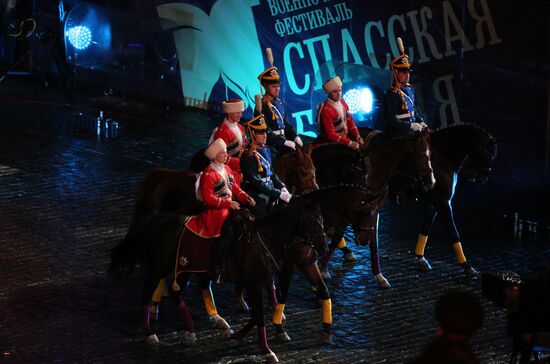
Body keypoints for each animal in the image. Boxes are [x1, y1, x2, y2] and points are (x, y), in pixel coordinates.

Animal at [227, 192, 328, 362]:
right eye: (312, 222)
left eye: (322, 220)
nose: (324, 248)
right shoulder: (256, 283)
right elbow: (262, 313)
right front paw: (267, 350)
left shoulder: (272, 277)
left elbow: (259, 312)